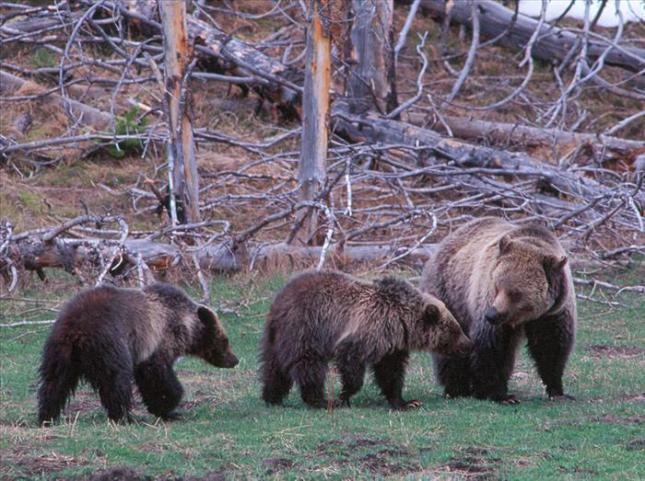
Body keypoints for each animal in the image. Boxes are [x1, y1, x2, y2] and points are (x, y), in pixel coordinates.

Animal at [37, 283, 239, 425]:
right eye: (225, 340)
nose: (235, 360)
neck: (186, 325)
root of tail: (77, 330)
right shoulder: (158, 341)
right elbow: (157, 375)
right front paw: (169, 407)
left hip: (59, 350)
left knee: (54, 382)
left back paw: (47, 415)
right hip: (109, 345)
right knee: (116, 381)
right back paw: (126, 417)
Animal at [259, 270, 473, 410]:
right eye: (455, 329)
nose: (468, 345)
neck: (401, 321)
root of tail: (279, 301)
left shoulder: (392, 346)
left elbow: (390, 372)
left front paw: (406, 402)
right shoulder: (370, 329)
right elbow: (351, 361)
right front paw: (344, 395)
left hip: (276, 336)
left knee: (273, 367)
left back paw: (272, 397)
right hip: (305, 328)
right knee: (308, 364)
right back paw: (320, 400)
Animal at [420, 217, 577, 404]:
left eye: (515, 293)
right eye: (496, 285)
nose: (492, 314)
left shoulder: (552, 313)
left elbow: (550, 345)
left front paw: (558, 390)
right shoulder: (488, 304)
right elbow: (492, 346)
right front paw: (498, 394)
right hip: (450, 294)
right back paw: (456, 387)